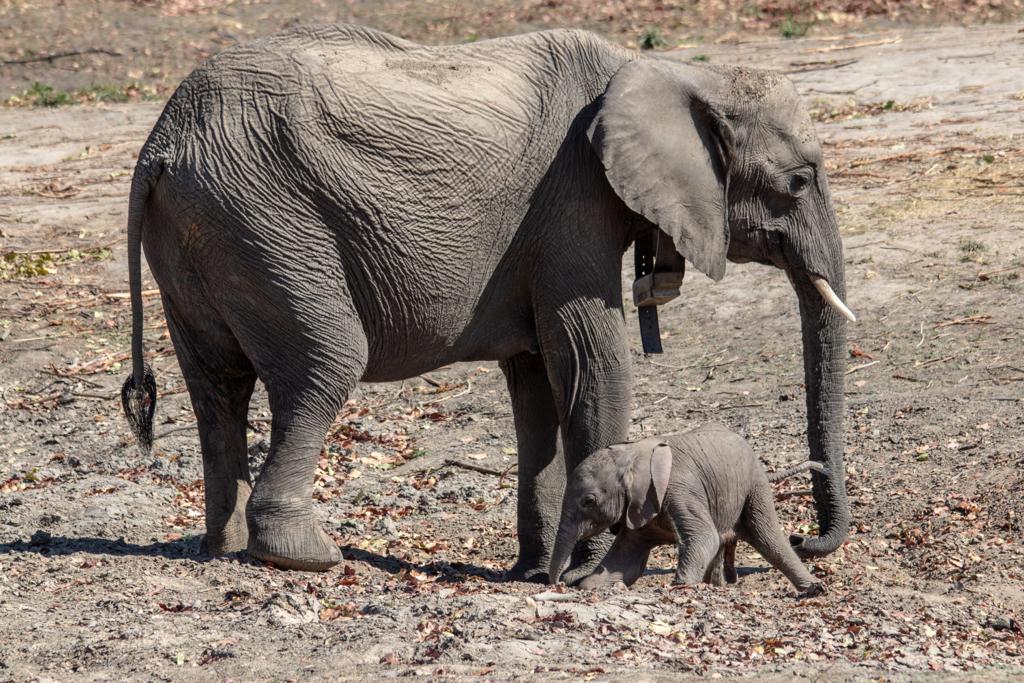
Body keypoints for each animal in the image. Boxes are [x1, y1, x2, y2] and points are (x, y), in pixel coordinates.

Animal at [552, 423, 823, 593]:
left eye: (589, 501)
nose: (556, 585)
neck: (631, 453)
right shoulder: (640, 508)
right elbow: (627, 560)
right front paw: (593, 586)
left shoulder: (679, 488)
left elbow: (703, 538)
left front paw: (678, 586)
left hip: (753, 485)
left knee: (768, 538)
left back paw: (814, 589)